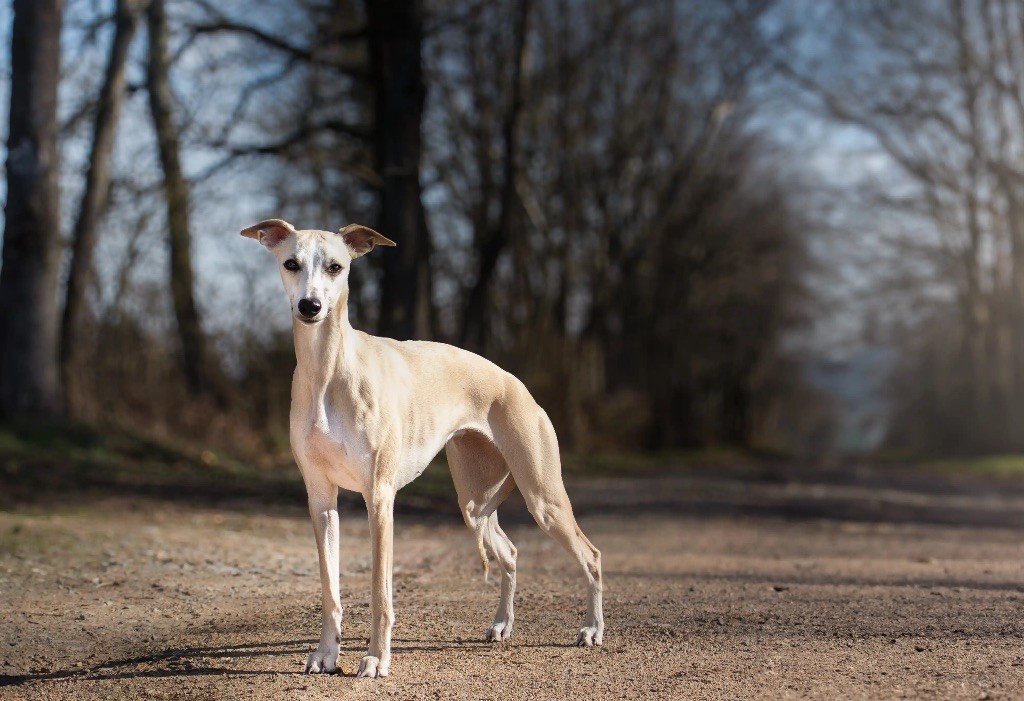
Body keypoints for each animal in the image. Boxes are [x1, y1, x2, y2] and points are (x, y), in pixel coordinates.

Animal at [240, 218, 602, 679]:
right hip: (474, 503)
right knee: (510, 551)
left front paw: (376, 658)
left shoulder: (379, 497)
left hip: (543, 497)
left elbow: (380, 592)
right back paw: (502, 624)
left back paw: (592, 629)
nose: (310, 307)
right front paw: (326, 654)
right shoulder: (321, 499)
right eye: (291, 263)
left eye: (337, 267)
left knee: (591, 555)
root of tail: (514, 382)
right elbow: (330, 589)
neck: (328, 369)